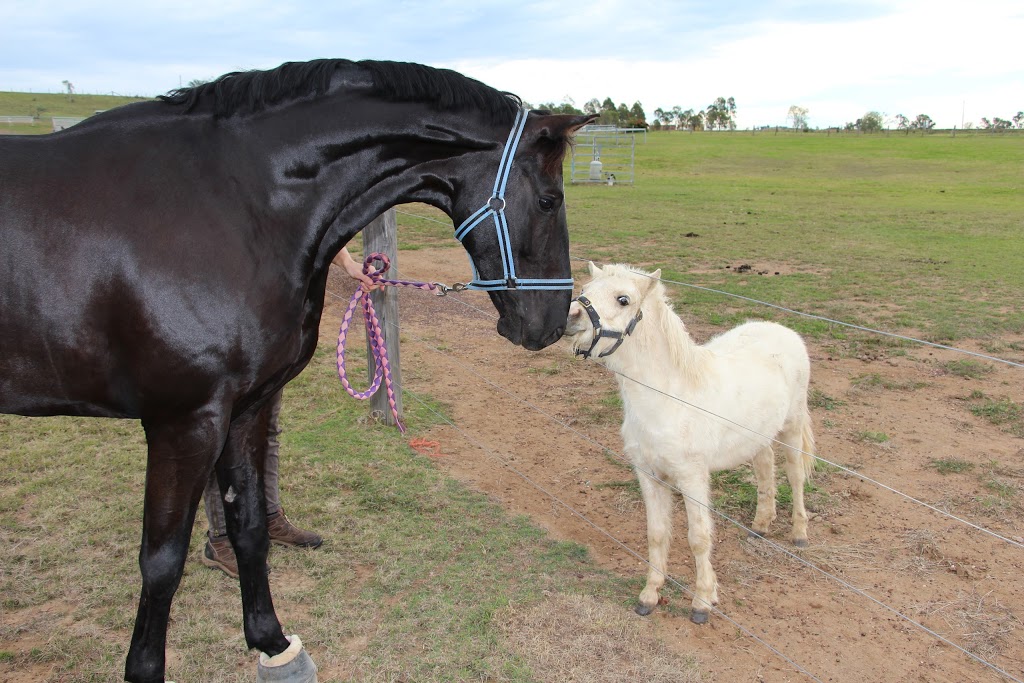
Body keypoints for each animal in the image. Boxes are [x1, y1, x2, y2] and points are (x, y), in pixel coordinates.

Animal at [0, 60, 593, 683]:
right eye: (549, 200)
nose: (554, 323)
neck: (236, 204)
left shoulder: (246, 409)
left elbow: (251, 526)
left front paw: (273, 643)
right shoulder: (183, 422)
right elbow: (161, 561)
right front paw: (145, 669)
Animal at [565, 264, 811, 626]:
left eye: (623, 299)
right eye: (585, 289)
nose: (571, 317)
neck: (668, 398)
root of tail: (783, 330)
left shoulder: (692, 478)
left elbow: (699, 538)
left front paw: (702, 602)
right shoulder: (649, 475)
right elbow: (657, 533)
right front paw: (649, 596)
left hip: (792, 426)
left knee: (794, 475)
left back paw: (799, 533)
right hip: (758, 435)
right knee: (765, 465)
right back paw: (761, 525)